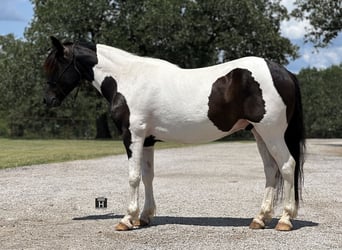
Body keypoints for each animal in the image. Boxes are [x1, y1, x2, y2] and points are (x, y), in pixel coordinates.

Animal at [43, 36, 308, 231]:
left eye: (56, 65)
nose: (48, 100)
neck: (127, 78)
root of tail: (283, 72)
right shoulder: (148, 140)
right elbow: (148, 176)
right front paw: (145, 217)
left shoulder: (133, 136)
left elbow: (133, 177)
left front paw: (127, 219)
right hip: (260, 134)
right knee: (271, 170)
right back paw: (260, 218)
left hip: (272, 133)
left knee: (287, 166)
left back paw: (285, 220)